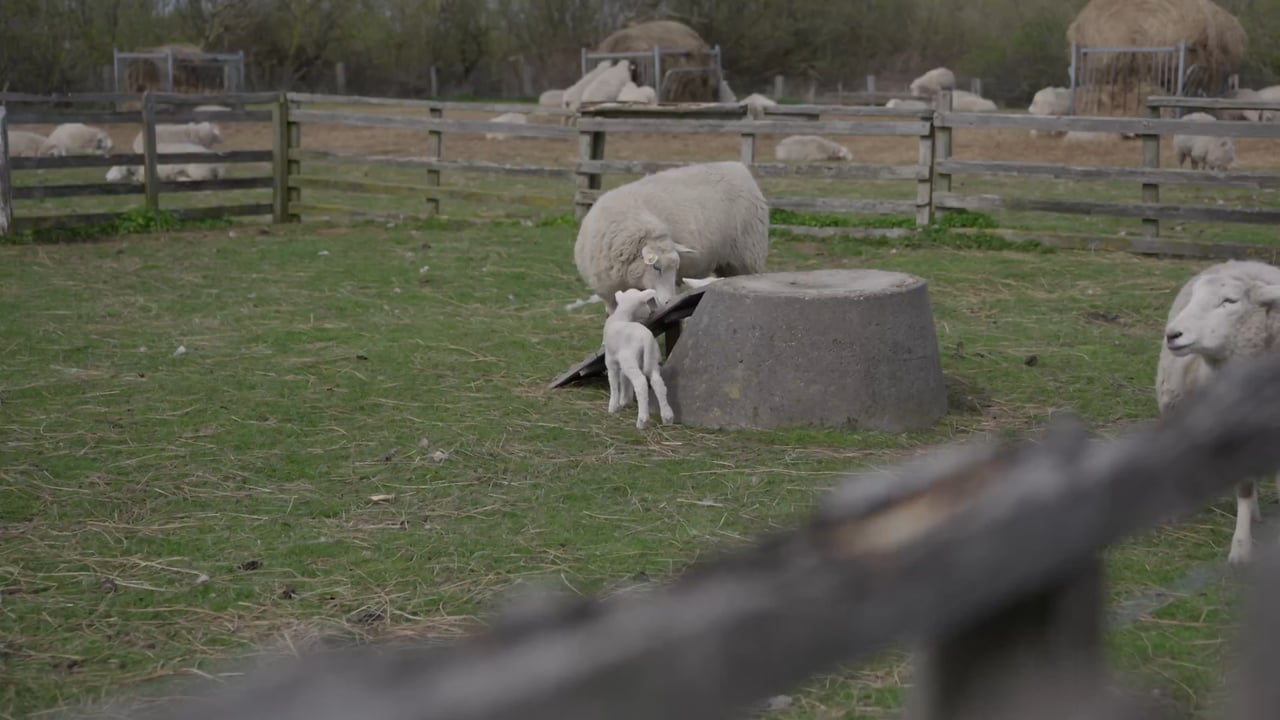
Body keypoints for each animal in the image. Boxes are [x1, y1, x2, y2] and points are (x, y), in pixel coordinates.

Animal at [574, 160, 769, 316]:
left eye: (676, 268)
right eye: (656, 267)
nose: (668, 301)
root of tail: (738, 167)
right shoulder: (610, 295)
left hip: (747, 256)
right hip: (729, 263)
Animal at [603, 288, 675, 430]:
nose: (650, 312)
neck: (623, 316)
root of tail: (645, 337)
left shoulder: (610, 360)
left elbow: (613, 382)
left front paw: (613, 407)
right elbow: (624, 379)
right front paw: (624, 401)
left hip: (629, 360)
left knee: (640, 383)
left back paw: (642, 421)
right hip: (651, 359)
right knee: (658, 383)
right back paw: (667, 417)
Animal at [1156, 260, 1280, 564]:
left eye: (1229, 301)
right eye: (1195, 298)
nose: (1172, 335)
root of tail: (1241, 263)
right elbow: (1244, 487)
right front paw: (1241, 548)